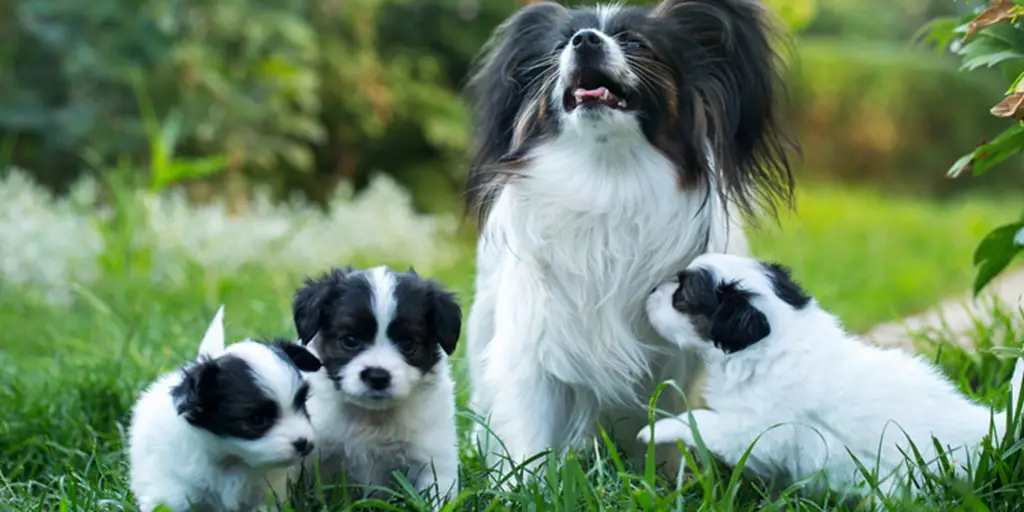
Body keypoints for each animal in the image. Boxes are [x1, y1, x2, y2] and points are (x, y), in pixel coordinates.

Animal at [128, 305, 321, 509]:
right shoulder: (175, 493)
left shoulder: (264, 496)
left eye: (302, 403)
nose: (304, 443)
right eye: (256, 420)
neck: (232, 458)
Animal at [290, 266, 462, 505]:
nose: (378, 376)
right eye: (350, 340)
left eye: (408, 344)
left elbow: (437, 494)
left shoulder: (432, 456)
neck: (373, 418)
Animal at [462, 0, 798, 475]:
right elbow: (529, 436)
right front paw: (521, 483)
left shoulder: (672, 362)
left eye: (635, 42)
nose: (585, 40)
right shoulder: (532, 347)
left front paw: (662, 478)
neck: (607, 177)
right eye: (560, 46)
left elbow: (663, 425)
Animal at [638, 253, 1024, 497]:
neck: (775, 338)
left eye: (681, 295)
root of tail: (992, 429)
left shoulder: (757, 429)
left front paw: (654, 429)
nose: (651, 291)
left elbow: (702, 421)